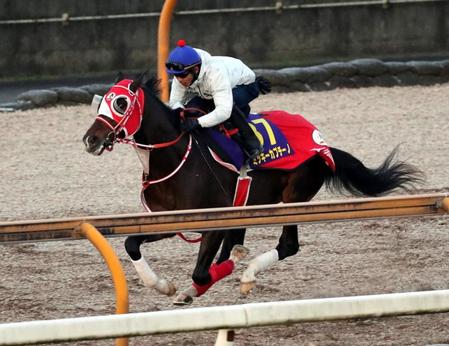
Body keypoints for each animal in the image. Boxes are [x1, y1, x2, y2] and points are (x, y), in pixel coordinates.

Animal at [82, 74, 422, 304]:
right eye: (101, 101)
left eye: (121, 102)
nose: (90, 139)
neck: (175, 157)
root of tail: (322, 142)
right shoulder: (170, 220)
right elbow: (131, 243)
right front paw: (163, 285)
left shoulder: (213, 220)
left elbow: (202, 271)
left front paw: (229, 267)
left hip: (293, 199)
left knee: (288, 245)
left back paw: (247, 273)